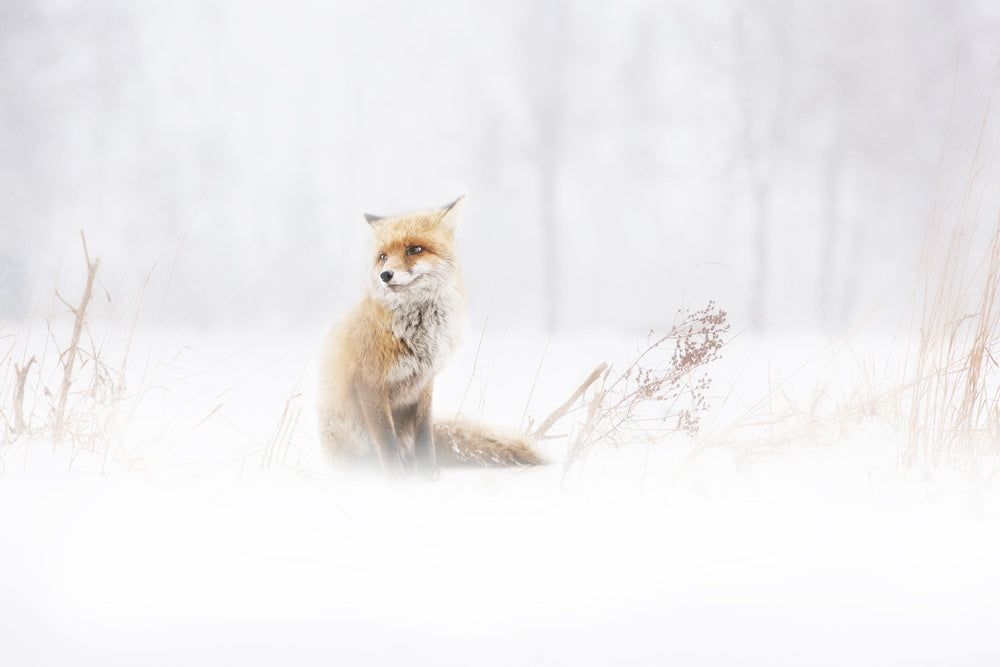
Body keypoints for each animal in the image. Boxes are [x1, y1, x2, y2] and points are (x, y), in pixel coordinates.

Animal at [317, 195, 542, 476]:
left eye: (414, 249)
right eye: (383, 257)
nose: (385, 275)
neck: (419, 336)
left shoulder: (425, 382)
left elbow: (424, 434)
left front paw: (429, 475)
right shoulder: (370, 382)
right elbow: (386, 439)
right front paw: (396, 479)